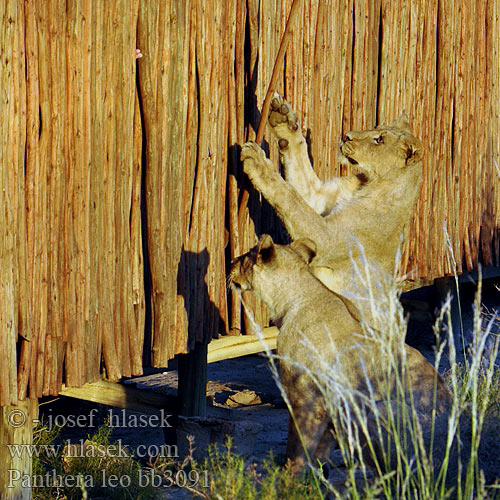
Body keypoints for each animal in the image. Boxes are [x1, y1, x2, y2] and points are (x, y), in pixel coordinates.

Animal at [229, 234, 454, 472]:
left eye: (245, 257)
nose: (231, 262)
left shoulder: (305, 395)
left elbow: (298, 442)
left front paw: (291, 473)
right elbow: (323, 442)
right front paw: (319, 469)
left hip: (379, 409)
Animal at [240, 96, 424, 302]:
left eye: (379, 140)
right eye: (375, 127)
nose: (347, 136)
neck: (369, 182)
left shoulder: (326, 238)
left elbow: (289, 196)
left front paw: (257, 161)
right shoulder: (318, 197)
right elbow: (299, 162)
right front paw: (283, 117)